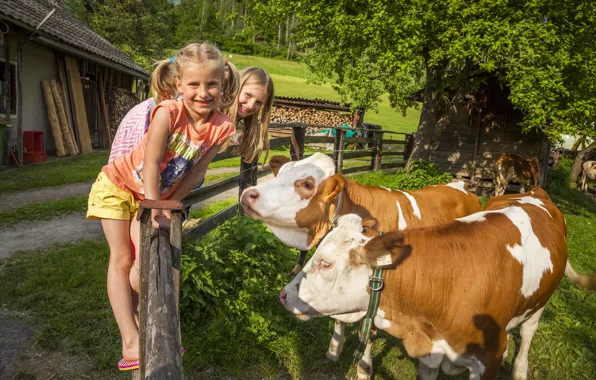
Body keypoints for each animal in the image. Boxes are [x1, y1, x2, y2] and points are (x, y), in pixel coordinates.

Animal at [284, 190, 592, 380]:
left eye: (325, 263)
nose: (284, 295)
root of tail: (536, 191)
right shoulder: (430, 353)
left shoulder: (486, 360)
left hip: (538, 304)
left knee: (527, 336)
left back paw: (519, 369)